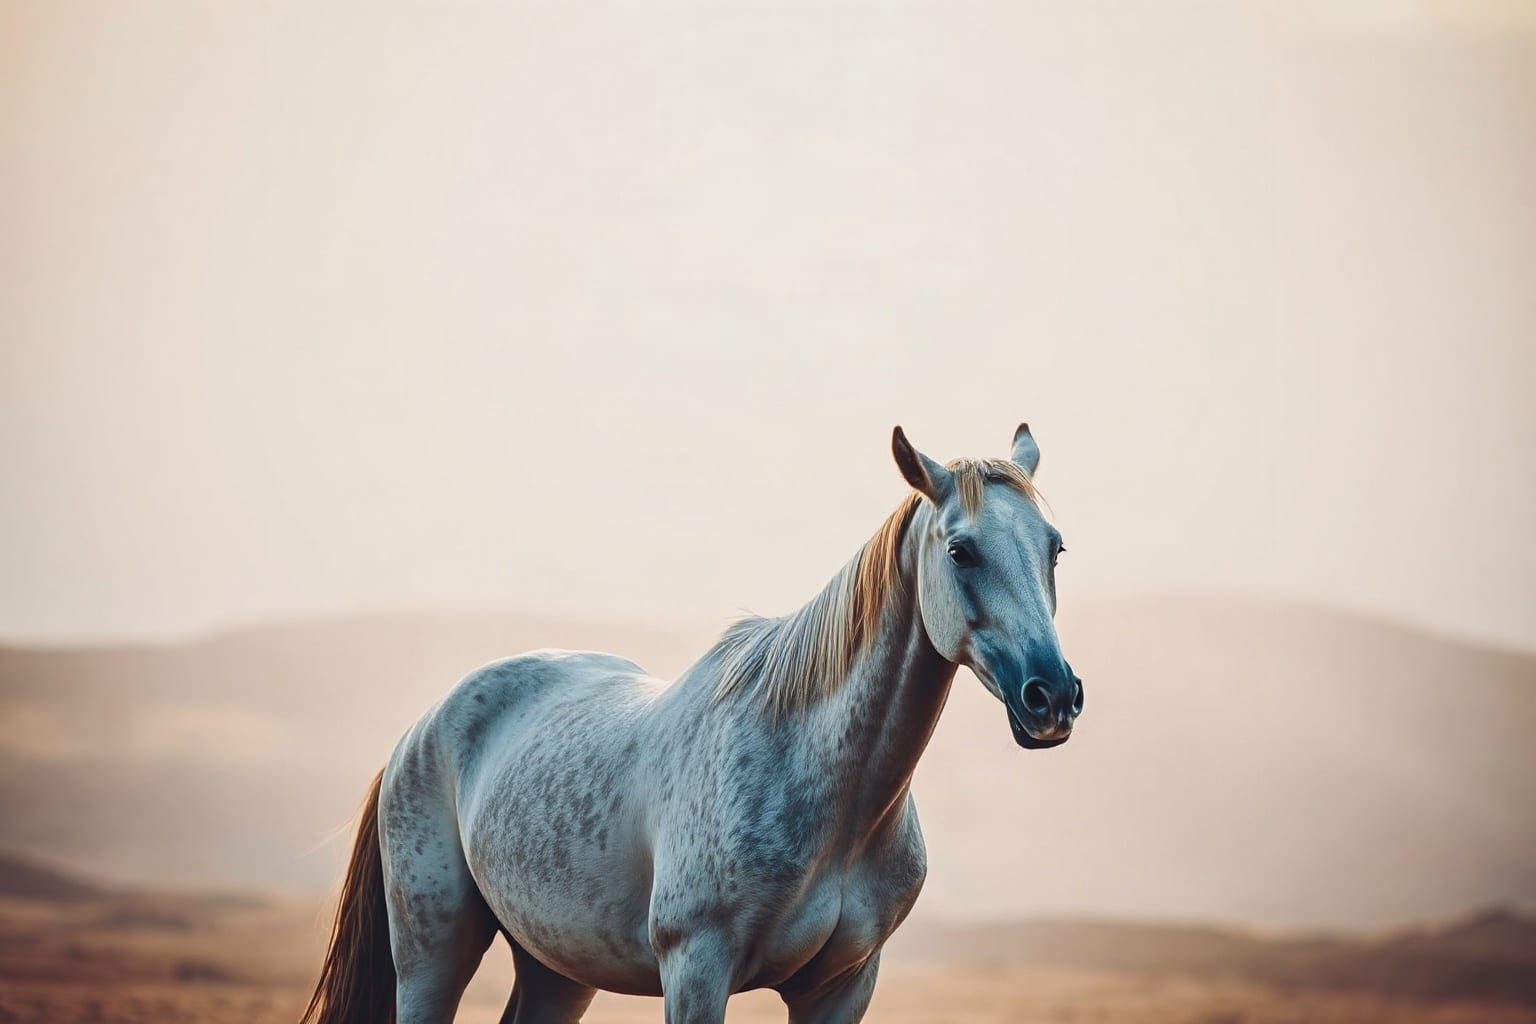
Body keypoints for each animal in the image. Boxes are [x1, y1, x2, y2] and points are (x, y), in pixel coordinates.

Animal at [301, 423, 1083, 1024]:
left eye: (1055, 547)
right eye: (960, 550)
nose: (1052, 697)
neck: (826, 788)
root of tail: (423, 729)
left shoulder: (843, 986)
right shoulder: (697, 971)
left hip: (558, 965)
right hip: (433, 952)